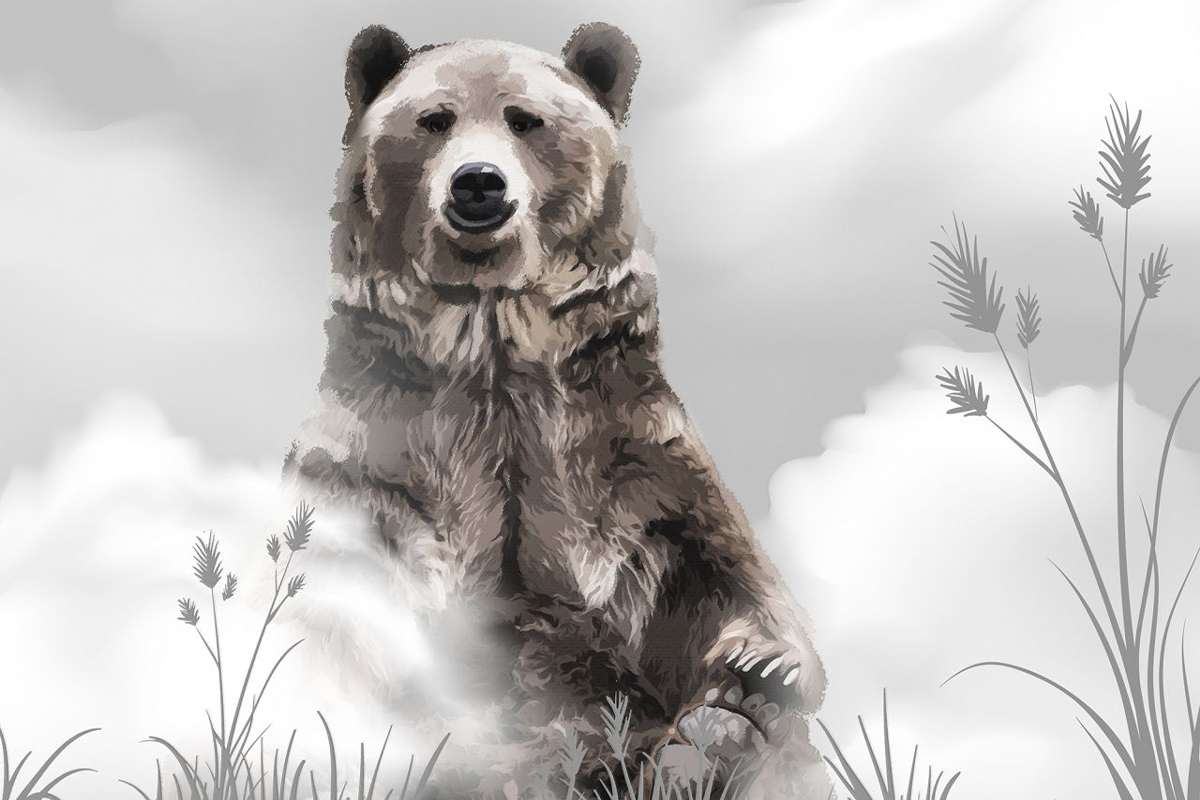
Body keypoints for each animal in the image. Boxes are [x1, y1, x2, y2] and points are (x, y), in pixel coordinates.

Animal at [283, 22, 830, 799]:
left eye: (525, 119)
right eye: (435, 119)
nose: (478, 181)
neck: (493, 344)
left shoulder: (624, 449)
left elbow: (718, 565)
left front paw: (763, 669)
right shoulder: (379, 453)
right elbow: (336, 592)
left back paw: (714, 735)